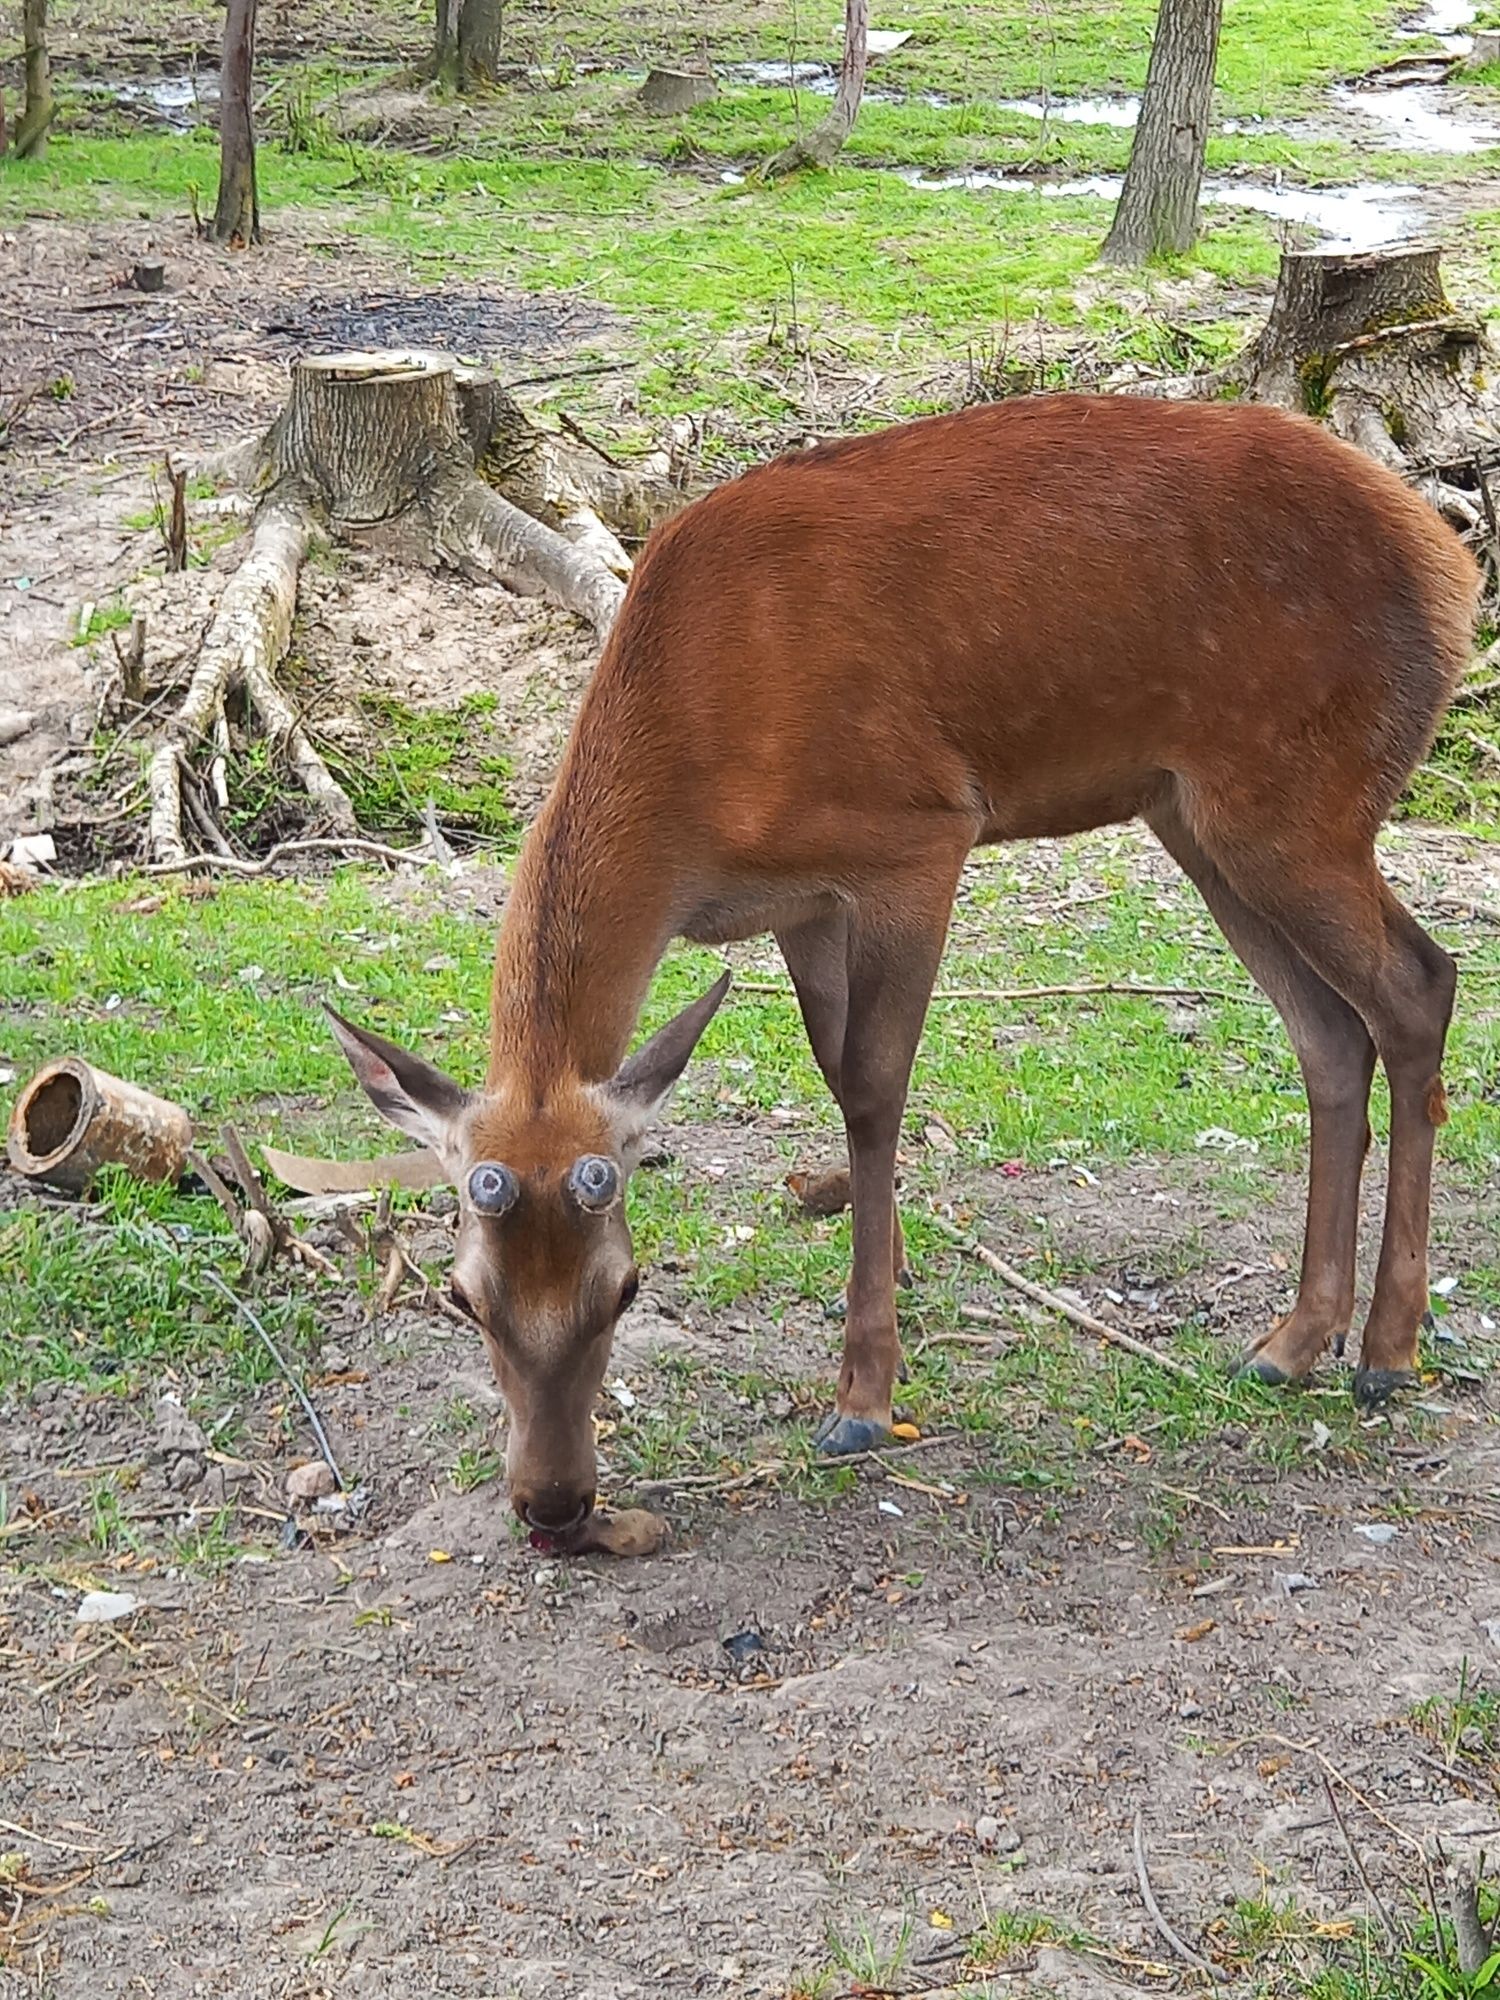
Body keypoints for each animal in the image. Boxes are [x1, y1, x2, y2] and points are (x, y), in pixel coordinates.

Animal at [332, 394, 1480, 1544]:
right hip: (1198, 811)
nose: (555, 1504)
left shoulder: (916, 835)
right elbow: (837, 1078)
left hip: (1296, 796)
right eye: (463, 1296)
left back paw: (1388, 1350)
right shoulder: (796, 903)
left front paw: (864, 1398)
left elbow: (877, 1089)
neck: (696, 801)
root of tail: (1454, 571)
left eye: (626, 1286)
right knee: (1328, 1032)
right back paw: (1291, 1342)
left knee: (1419, 984)